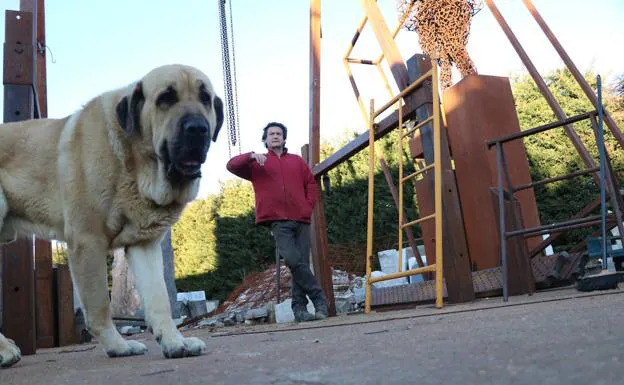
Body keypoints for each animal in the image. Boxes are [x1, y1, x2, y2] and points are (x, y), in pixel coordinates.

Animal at [0, 63, 223, 366]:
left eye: (205, 99)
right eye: (166, 98)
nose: (198, 128)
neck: (134, 163)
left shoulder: (144, 245)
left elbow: (159, 300)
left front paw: (175, 342)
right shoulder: (88, 242)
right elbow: (99, 308)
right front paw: (118, 346)